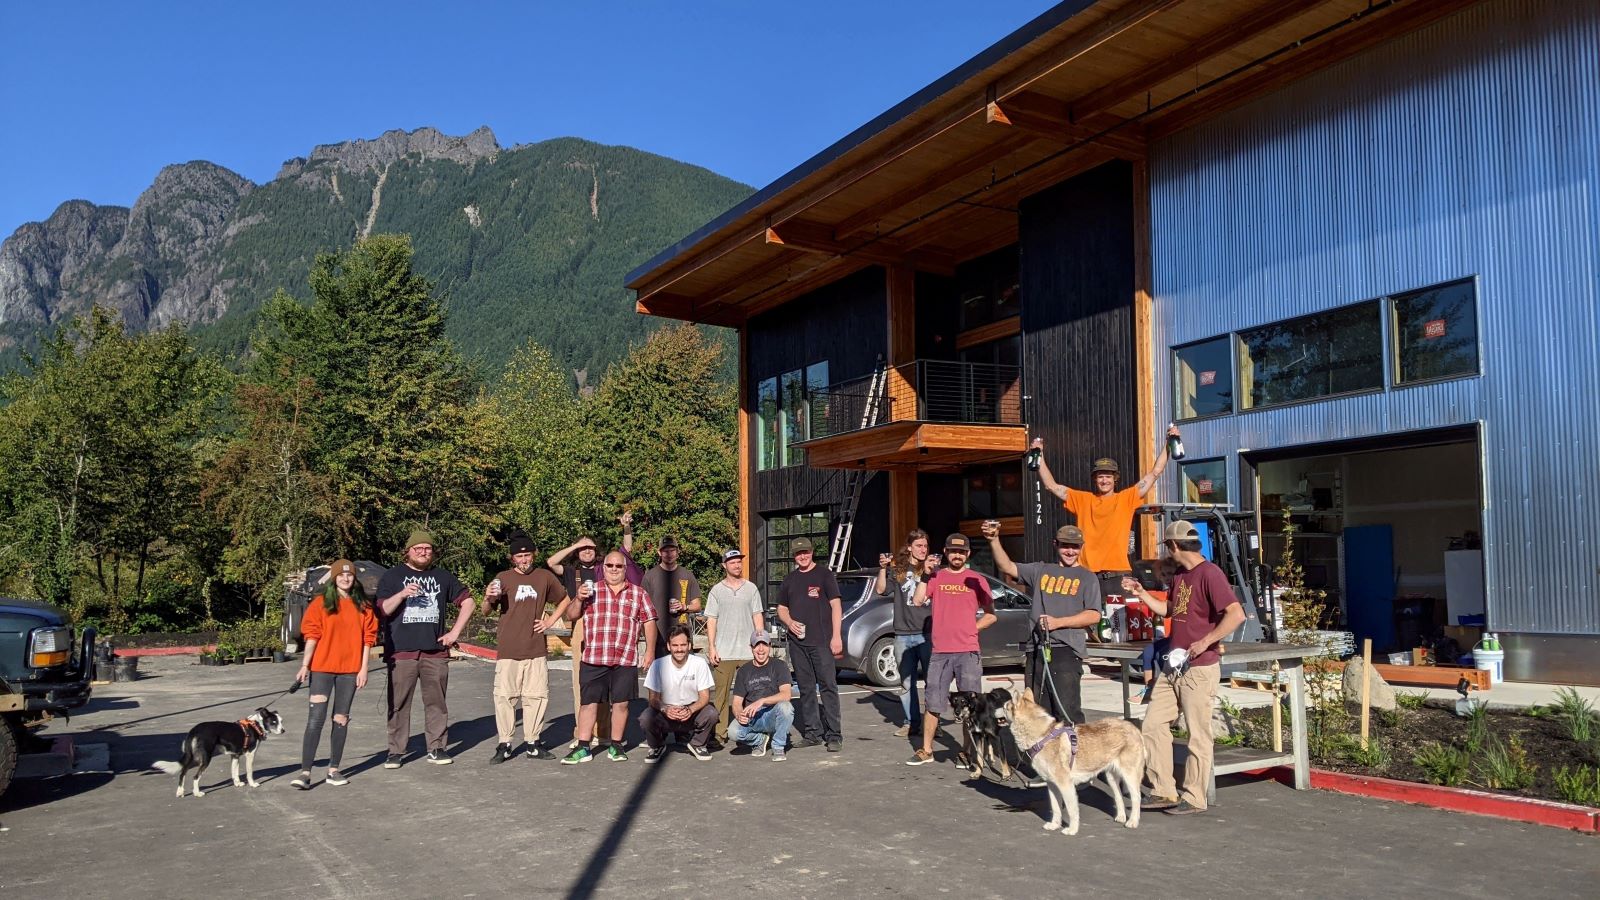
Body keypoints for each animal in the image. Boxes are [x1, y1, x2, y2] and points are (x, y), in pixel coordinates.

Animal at [152, 704, 284, 794]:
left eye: (281, 721)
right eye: (273, 722)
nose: (283, 730)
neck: (255, 725)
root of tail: (195, 730)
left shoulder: (235, 755)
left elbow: (234, 772)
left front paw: (237, 784)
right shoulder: (250, 755)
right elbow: (249, 772)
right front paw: (252, 784)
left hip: (194, 757)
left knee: (183, 771)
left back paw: (180, 792)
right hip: (205, 758)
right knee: (195, 776)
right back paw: (197, 793)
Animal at [992, 685, 1145, 832]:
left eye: (1004, 707)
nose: (992, 711)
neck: (1042, 737)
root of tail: (1133, 727)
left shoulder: (1066, 785)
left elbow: (1072, 811)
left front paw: (1072, 830)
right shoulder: (1052, 785)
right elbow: (1056, 808)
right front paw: (1055, 825)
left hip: (1129, 776)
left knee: (1136, 797)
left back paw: (1133, 821)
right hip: (1111, 777)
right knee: (1118, 796)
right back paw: (1121, 817)